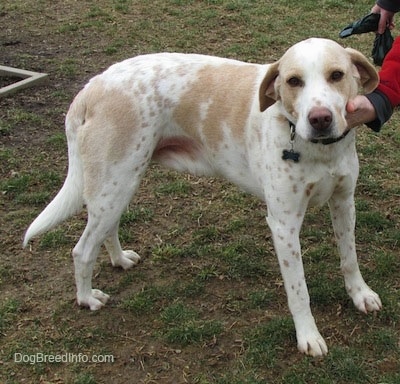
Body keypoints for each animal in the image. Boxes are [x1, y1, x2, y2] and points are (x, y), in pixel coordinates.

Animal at [23, 37, 382, 356]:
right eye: (294, 81)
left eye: (336, 75)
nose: (320, 119)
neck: (320, 151)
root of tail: (91, 87)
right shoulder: (283, 224)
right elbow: (299, 291)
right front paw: (308, 336)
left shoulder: (344, 202)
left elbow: (349, 258)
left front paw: (360, 295)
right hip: (114, 183)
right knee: (82, 250)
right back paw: (87, 298)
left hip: (121, 184)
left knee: (105, 230)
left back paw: (120, 259)